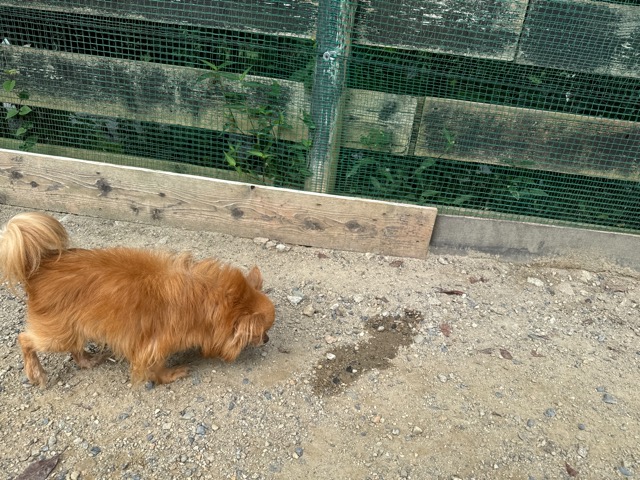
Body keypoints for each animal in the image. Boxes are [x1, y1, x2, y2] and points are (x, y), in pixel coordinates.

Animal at [0, 212, 275, 387]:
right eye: (261, 332)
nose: (267, 339)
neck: (210, 299)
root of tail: (39, 267)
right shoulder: (154, 345)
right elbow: (155, 367)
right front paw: (170, 375)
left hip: (73, 328)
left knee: (74, 348)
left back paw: (87, 361)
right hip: (57, 334)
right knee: (25, 340)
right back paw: (36, 374)